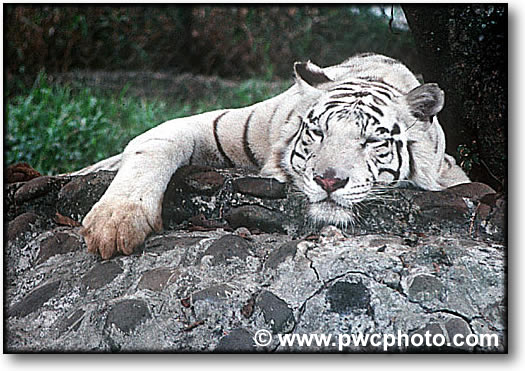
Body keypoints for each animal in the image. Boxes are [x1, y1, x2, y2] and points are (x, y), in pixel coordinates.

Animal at [77, 53, 466, 260]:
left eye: (371, 140)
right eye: (318, 131)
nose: (328, 180)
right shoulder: (213, 123)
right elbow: (155, 143)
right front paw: (114, 223)